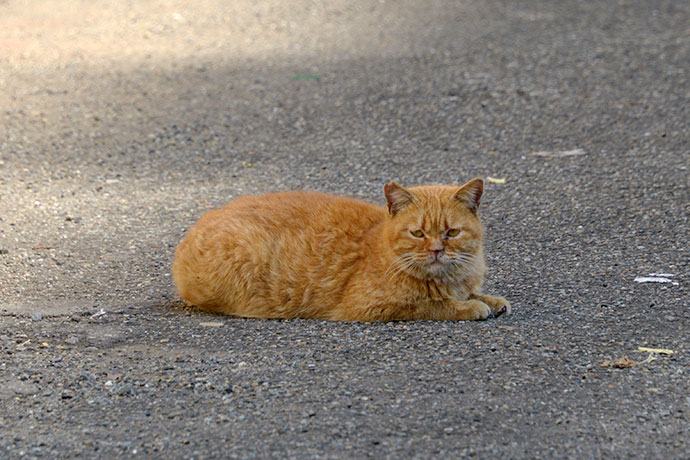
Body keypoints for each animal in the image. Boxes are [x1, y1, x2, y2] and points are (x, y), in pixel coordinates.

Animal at [170, 178, 508, 322]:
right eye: (418, 233)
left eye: (452, 233)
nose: (437, 250)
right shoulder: (370, 307)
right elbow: (432, 305)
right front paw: (469, 307)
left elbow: (474, 293)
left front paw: (489, 299)